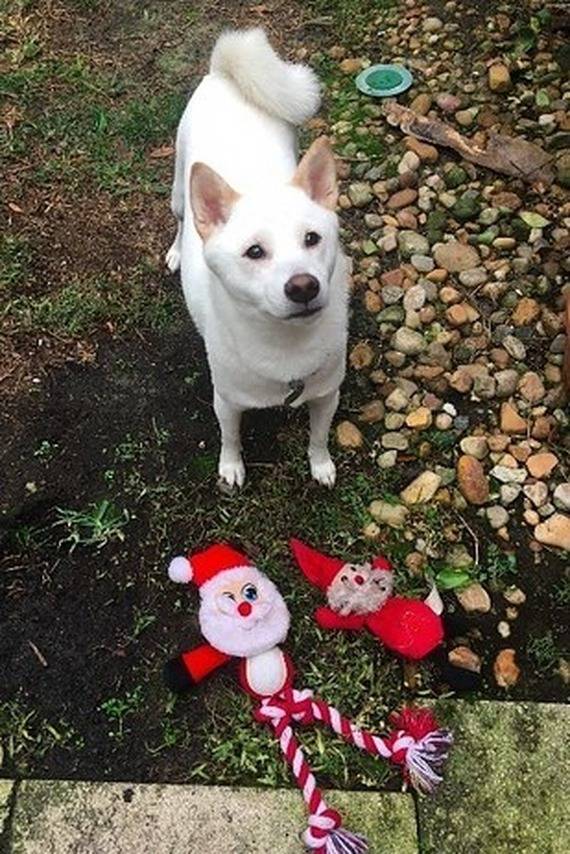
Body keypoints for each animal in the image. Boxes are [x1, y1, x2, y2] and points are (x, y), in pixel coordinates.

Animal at [166, 28, 348, 488]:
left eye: (312, 239)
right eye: (254, 252)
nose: (303, 286)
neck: (287, 346)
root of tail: (225, 72)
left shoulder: (327, 395)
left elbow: (318, 437)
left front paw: (320, 465)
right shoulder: (227, 401)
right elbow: (230, 438)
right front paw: (230, 469)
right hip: (179, 189)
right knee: (180, 217)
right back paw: (175, 251)